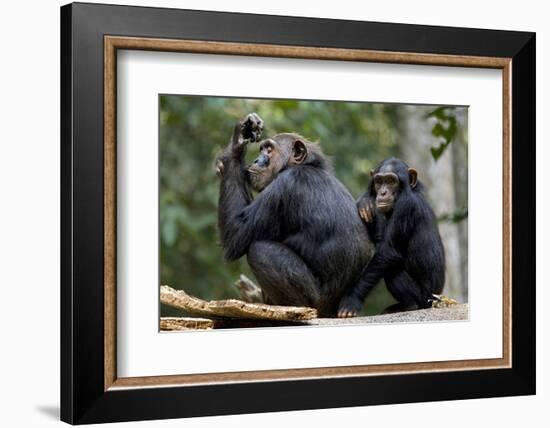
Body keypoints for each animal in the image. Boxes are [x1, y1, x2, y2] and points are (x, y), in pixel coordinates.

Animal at [215, 112, 370, 316]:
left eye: (269, 150)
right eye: (262, 149)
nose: (257, 160)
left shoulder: (284, 187)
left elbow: (235, 234)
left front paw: (236, 144)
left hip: (315, 301)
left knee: (260, 250)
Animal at [338, 158, 446, 318]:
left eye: (391, 181)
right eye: (379, 181)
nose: (383, 192)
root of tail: (437, 300)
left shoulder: (405, 206)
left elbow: (388, 250)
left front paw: (351, 300)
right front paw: (365, 203)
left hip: (424, 299)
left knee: (392, 270)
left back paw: (408, 305)